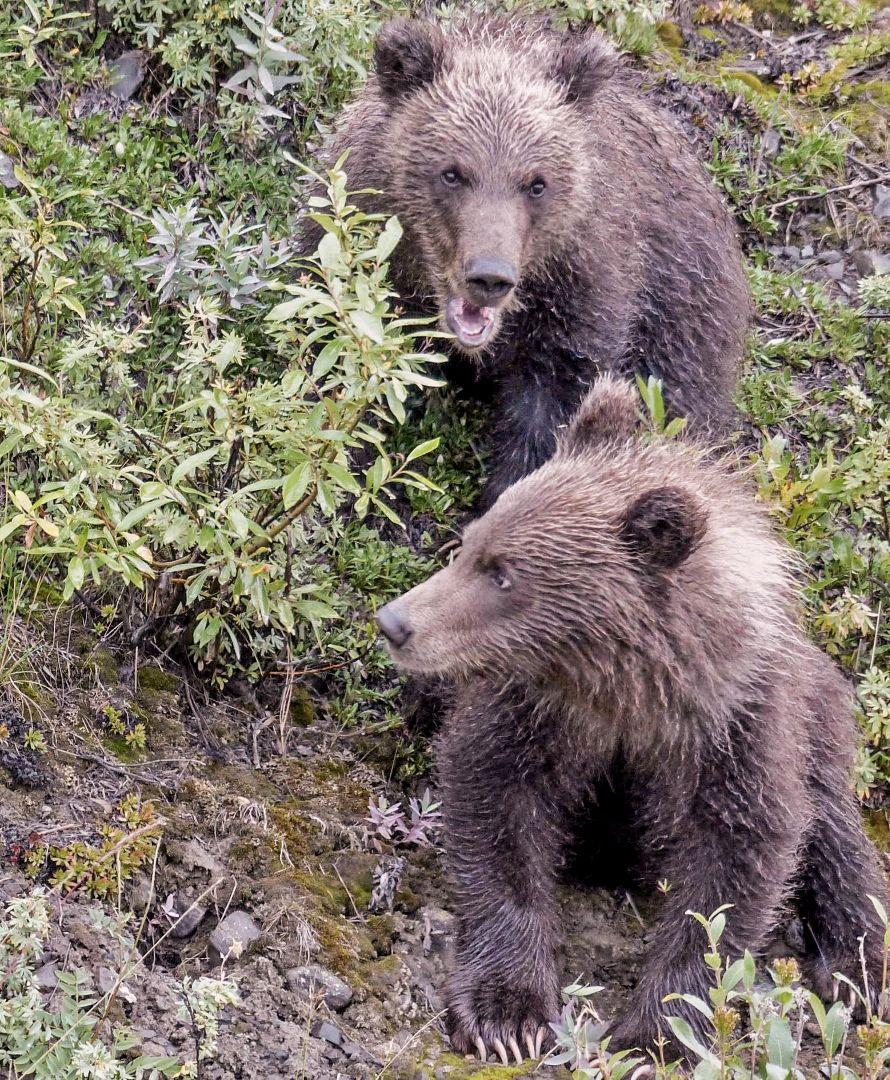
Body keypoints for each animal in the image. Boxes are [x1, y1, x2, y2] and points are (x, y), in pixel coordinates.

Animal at [375, 375, 887, 1065]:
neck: (625, 688)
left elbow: (737, 863)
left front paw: (658, 1032)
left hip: (819, 718)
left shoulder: (736, 726)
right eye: (472, 543)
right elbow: (495, 805)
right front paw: (507, 1014)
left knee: (833, 829)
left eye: (503, 573)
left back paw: (856, 968)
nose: (396, 622)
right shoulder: (535, 709)